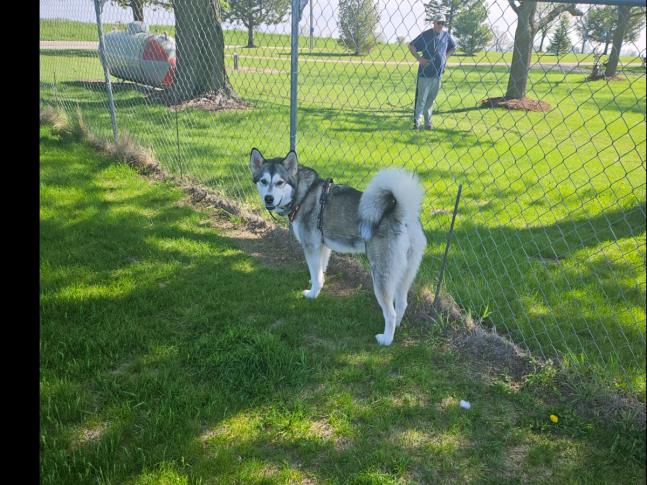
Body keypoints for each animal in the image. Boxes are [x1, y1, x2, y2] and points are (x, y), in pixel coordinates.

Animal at [249, 148, 427, 346]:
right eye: (263, 181)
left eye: (280, 182)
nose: (269, 198)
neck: (303, 193)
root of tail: (403, 214)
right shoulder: (324, 247)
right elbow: (320, 272)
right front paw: (317, 287)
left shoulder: (311, 246)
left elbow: (315, 273)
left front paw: (312, 294)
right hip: (406, 272)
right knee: (402, 303)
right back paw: (398, 327)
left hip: (381, 274)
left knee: (391, 312)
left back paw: (386, 339)